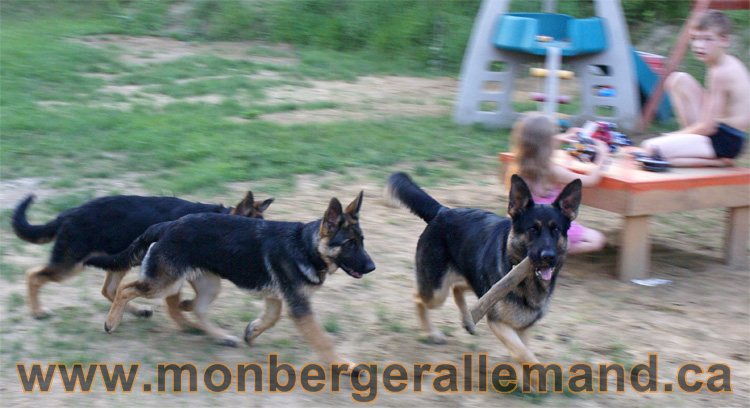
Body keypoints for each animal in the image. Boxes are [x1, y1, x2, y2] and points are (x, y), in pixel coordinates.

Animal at [11, 191, 274, 318]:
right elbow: (179, 303)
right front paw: (186, 317)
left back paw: (137, 311)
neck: (223, 217)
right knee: (33, 275)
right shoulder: (175, 275)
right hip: (70, 265)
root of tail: (67, 214)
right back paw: (37, 311)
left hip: (120, 261)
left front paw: (189, 308)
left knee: (111, 290)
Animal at [86, 191, 376, 364]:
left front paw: (252, 332)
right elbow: (323, 340)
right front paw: (343, 366)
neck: (306, 246)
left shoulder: (277, 298)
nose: (373, 266)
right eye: (349, 244)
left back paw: (221, 335)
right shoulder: (300, 307)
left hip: (210, 285)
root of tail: (167, 225)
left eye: (362, 241)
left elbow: (272, 318)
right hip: (162, 284)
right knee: (125, 288)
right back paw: (112, 321)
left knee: (199, 309)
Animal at [390, 172, 584, 366]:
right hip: (437, 292)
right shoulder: (498, 323)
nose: (548, 257)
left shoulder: (522, 327)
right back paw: (431, 333)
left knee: (457, 287)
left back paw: (467, 320)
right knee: (417, 296)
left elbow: (523, 356)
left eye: (556, 229)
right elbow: (524, 355)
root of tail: (442, 211)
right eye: (532, 229)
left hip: (475, 282)